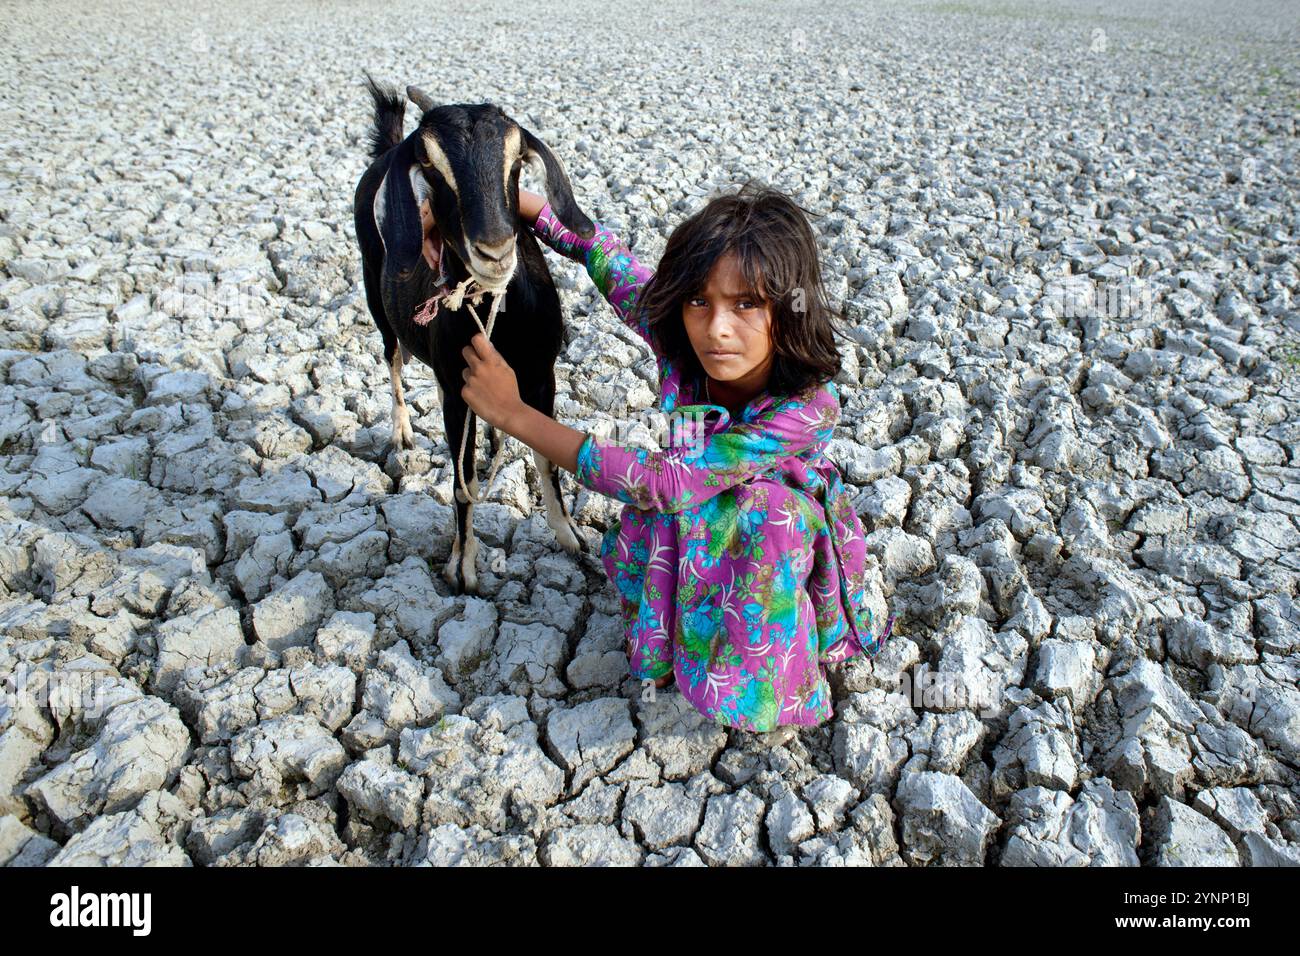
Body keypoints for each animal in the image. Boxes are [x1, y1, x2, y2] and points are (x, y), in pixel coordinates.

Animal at [356, 74, 598, 595]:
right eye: (429, 164)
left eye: (517, 159)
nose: (494, 250)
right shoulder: (456, 387)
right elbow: (461, 475)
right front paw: (463, 566)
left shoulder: (542, 373)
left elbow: (546, 457)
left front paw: (570, 536)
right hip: (376, 297)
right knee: (393, 359)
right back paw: (402, 432)